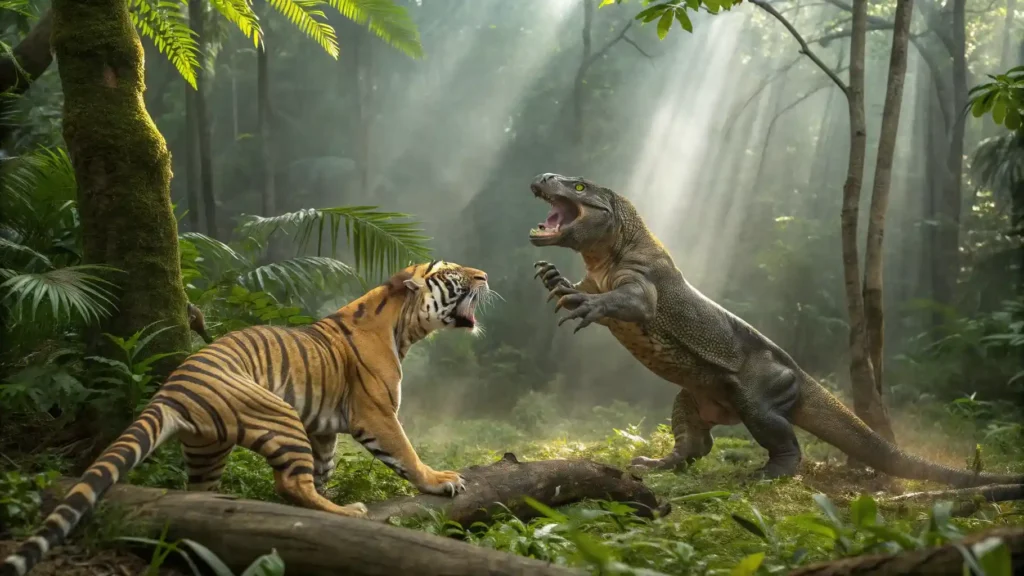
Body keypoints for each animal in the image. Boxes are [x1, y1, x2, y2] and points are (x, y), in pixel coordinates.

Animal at [1, 260, 491, 576]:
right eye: (452, 272)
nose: (485, 276)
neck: (402, 326)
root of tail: (172, 386)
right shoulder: (377, 413)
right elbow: (405, 453)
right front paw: (440, 480)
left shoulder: (322, 428)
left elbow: (325, 466)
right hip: (278, 413)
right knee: (289, 483)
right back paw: (347, 514)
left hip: (208, 451)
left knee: (201, 498)